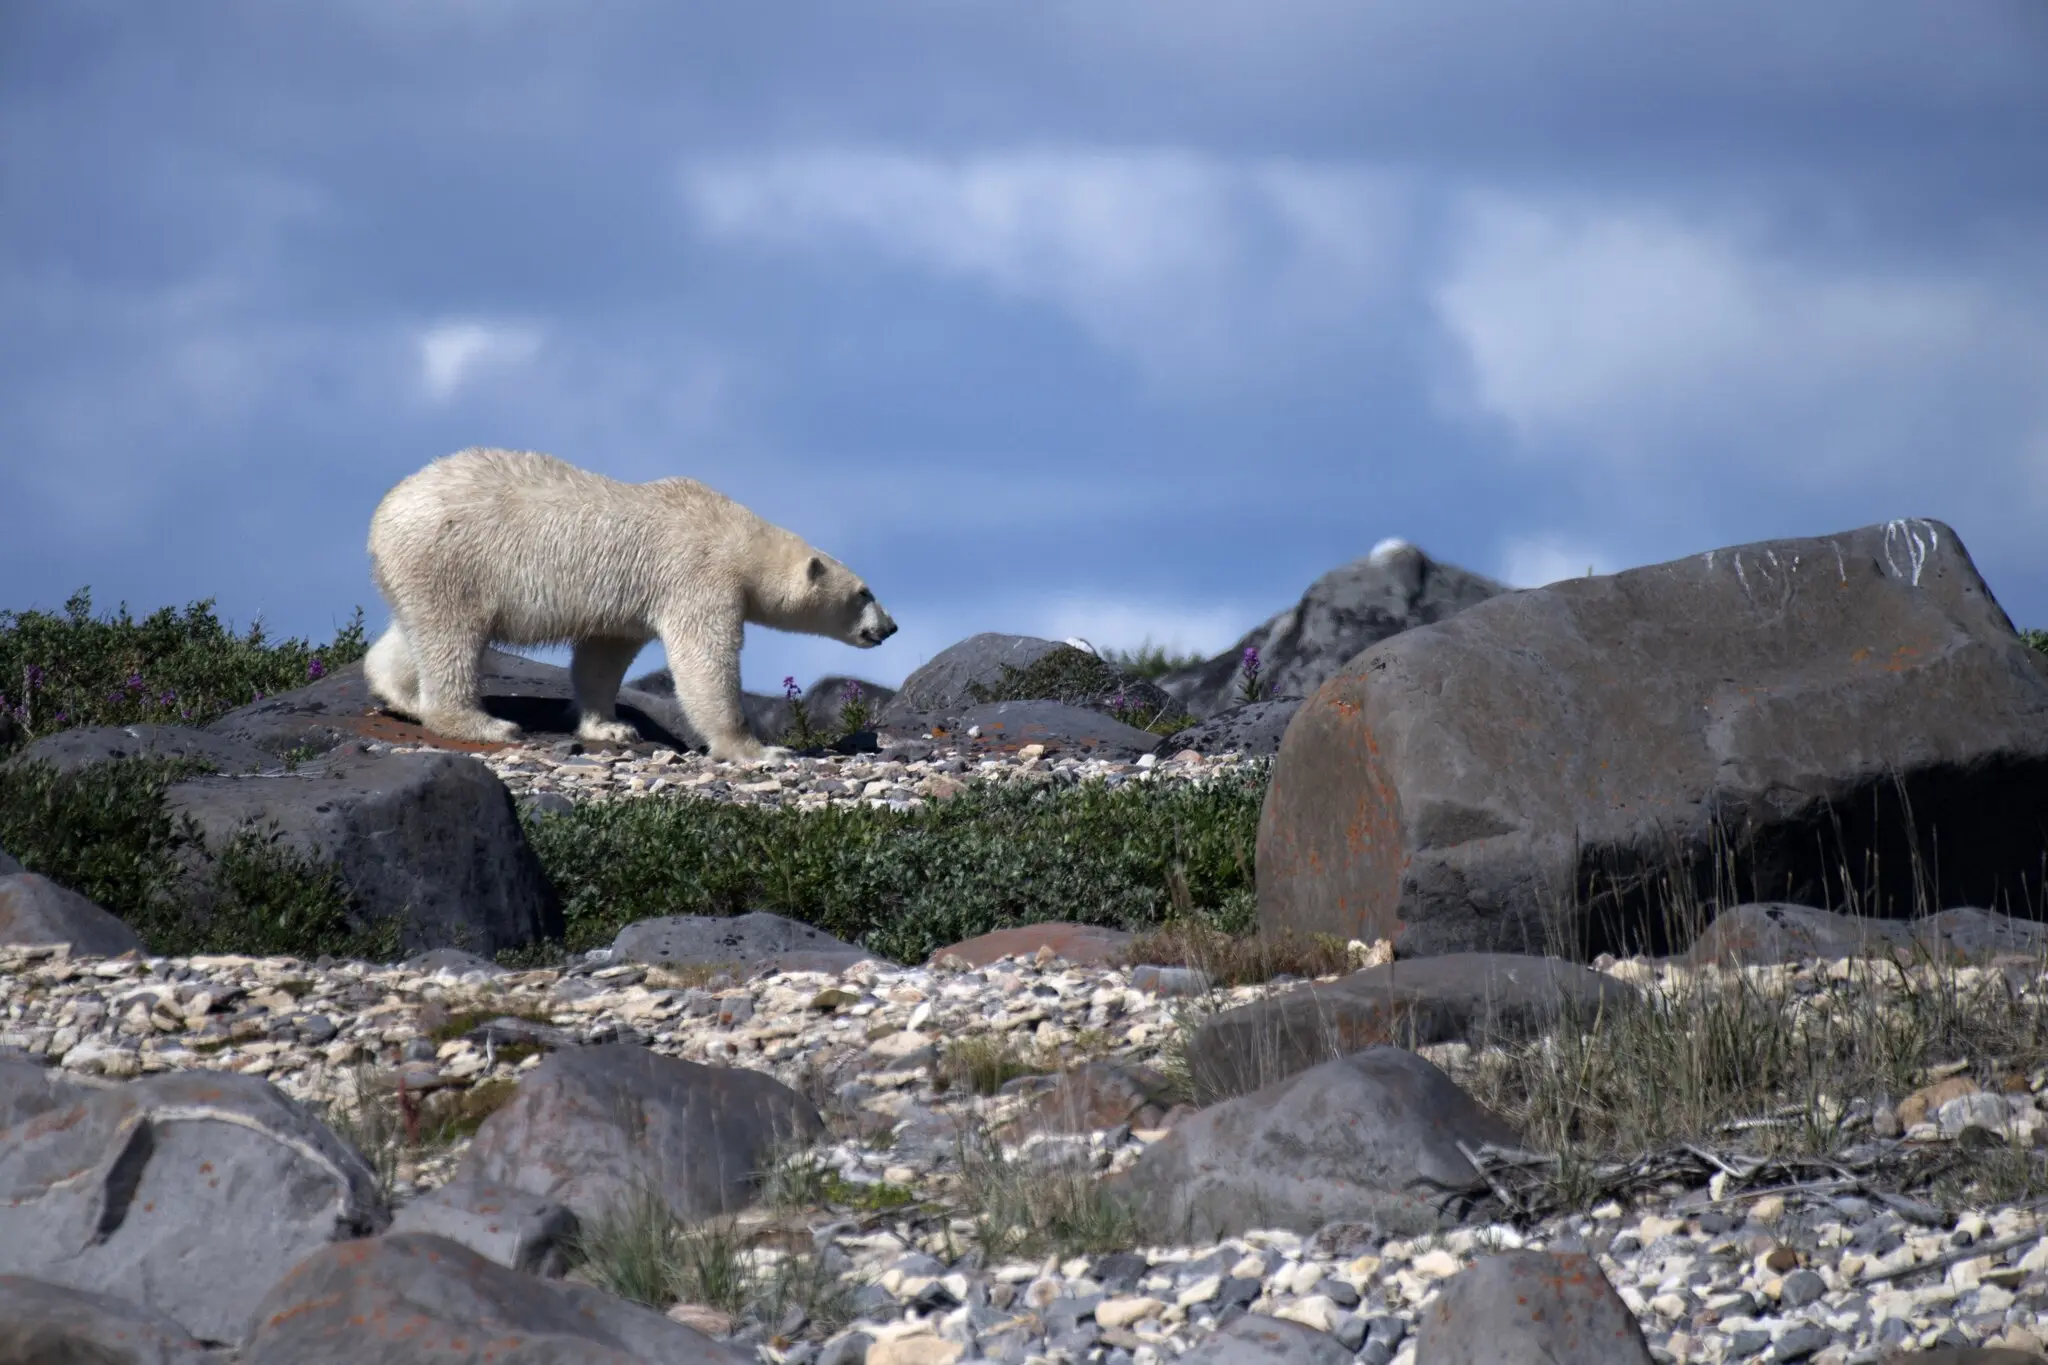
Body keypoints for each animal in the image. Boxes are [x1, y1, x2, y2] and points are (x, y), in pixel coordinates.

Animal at [364, 454, 892, 765]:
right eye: (864, 592)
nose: (890, 627)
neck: (735, 535)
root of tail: (383, 515)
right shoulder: (697, 577)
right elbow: (705, 659)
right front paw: (758, 750)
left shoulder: (629, 602)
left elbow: (603, 657)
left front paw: (612, 727)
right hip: (456, 559)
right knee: (453, 638)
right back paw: (483, 722)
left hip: (419, 570)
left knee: (415, 632)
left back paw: (401, 695)